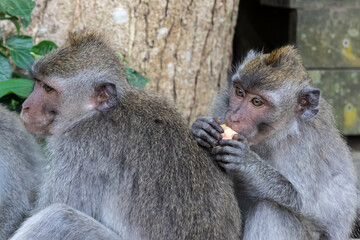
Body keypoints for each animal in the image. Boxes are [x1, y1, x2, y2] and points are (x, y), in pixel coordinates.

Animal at [191, 46, 358, 239]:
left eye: (257, 102)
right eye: (239, 92)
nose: (234, 117)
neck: (276, 136)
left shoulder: (305, 147)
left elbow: (302, 201)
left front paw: (246, 161)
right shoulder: (222, 107)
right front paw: (201, 128)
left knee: (270, 210)